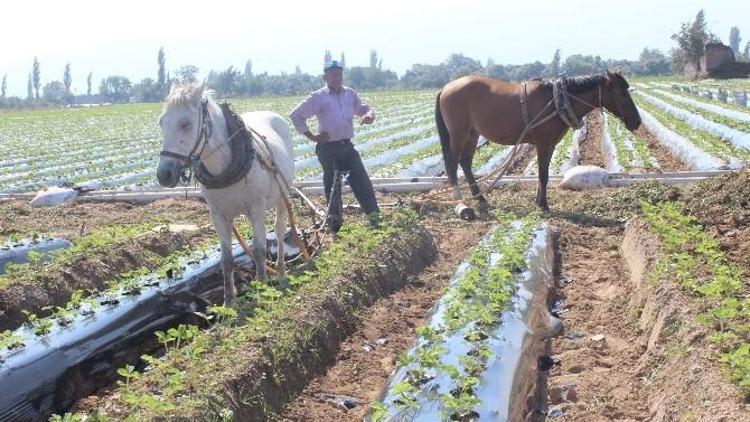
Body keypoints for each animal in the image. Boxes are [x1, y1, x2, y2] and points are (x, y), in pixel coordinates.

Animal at [157, 84, 296, 304]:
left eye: (186, 124)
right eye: (161, 123)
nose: (163, 174)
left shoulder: (256, 208)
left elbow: (258, 251)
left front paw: (262, 288)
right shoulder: (218, 215)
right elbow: (226, 259)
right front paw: (229, 300)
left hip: (283, 196)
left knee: (280, 231)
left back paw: (281, 271)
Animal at [438, 71, 644, 213]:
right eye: (622, 93)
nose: (637, 121)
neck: (557, 100)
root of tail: (446, 88)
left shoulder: (549, 144)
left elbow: (541, 174)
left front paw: (539, 201)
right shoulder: (544, 144)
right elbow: (543, 175)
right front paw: (544, 205)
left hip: (473, 134)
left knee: (465, 163)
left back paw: (481, 199)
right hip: (458, 134)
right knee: (452, 164)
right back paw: (460, 201)